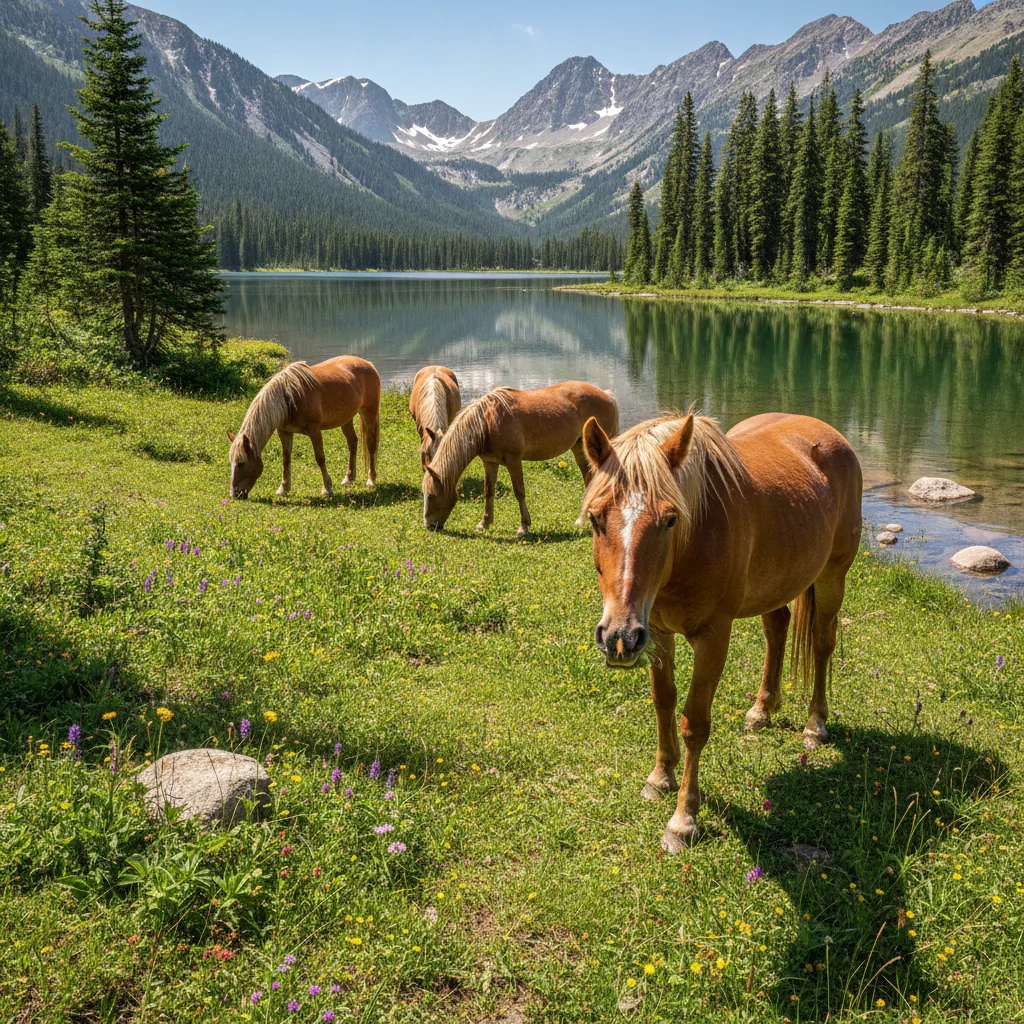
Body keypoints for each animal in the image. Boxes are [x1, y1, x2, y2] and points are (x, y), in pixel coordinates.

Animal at [227, 356, 380, 499]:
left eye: (241, 463)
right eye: (232, 463)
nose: (234, 494)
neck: (290, 398)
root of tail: (368, 364)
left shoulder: (315, 431)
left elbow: (320, 458)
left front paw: (327, 489)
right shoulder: (284, 432)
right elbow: (286, 459)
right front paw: (283, 489)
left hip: (369, 412)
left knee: (371, 445)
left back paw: (371, 480)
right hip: (346, 419)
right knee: (352, 442)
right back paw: (349, 478)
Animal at [423, 382, 619, 535]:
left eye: (431, 496)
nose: (429, 526)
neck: (487, 422)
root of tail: (607, 395)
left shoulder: (514, 461)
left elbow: (519, 491)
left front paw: (523, 527)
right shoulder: (489, 462)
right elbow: (489, 491)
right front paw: (484, 523)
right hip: (580, 449)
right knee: (589, 478)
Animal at [580, 411, 862, 853]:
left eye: (670, 520)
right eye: (595, 518)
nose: (618, 637)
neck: (691, 543)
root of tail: (829, 434)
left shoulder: (713, 638)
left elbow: (694, 723)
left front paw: (683, 821)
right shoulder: (656, 631)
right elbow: (663, 701)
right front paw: (660, 778)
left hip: (833, 578)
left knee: (822, 645)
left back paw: (815, 725)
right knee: (777, 629)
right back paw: (761, 710)